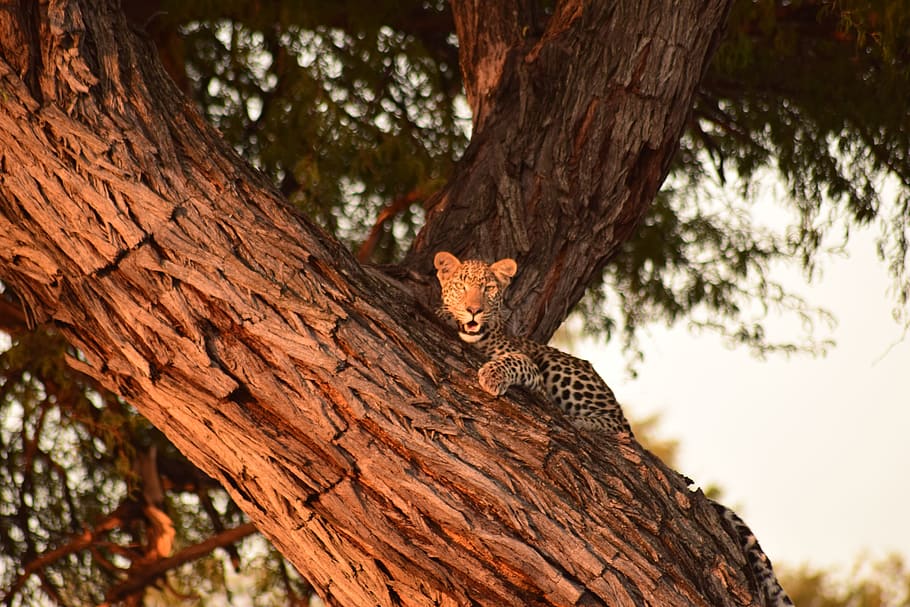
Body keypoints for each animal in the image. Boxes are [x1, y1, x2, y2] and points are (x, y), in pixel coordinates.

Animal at [433, 250, 794, 607]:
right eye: (461, 286)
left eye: (489, 289)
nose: (474, 309)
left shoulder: (534, 372)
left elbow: (515, 360)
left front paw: (492, 374)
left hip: (567, 371)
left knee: (615, 427)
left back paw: (581, 421)